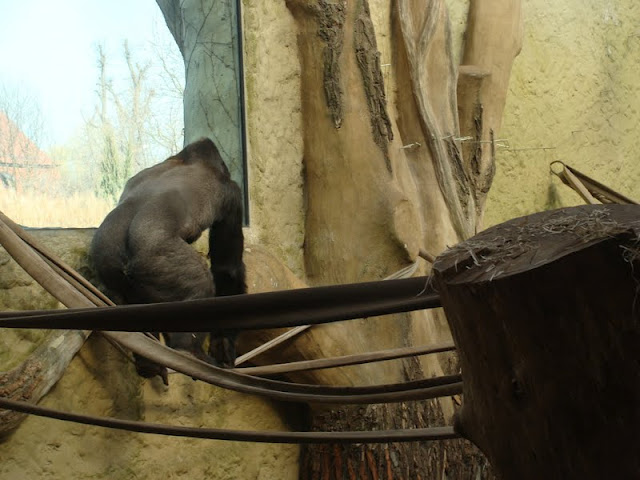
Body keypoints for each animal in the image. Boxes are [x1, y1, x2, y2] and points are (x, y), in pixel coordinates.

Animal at [89, 137, 246, 383]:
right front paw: (223, 344)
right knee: (199, 284)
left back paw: (149, 362)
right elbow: (227, 269)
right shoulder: (232, 193)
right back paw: (188, 352)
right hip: (158, 261)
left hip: (111, 268)